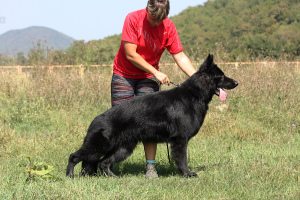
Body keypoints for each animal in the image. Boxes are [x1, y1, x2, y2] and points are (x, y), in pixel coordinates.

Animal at [66, 55, 239, 178]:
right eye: (221, 76)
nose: (237, 83)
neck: (194, 93)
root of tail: (96, 120)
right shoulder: (180, 140)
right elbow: (183, 159)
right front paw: (187, 174)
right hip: (98, 147)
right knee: (74, 156)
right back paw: (70, 175)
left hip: (123, 149)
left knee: (103, 163)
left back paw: (113, 177)